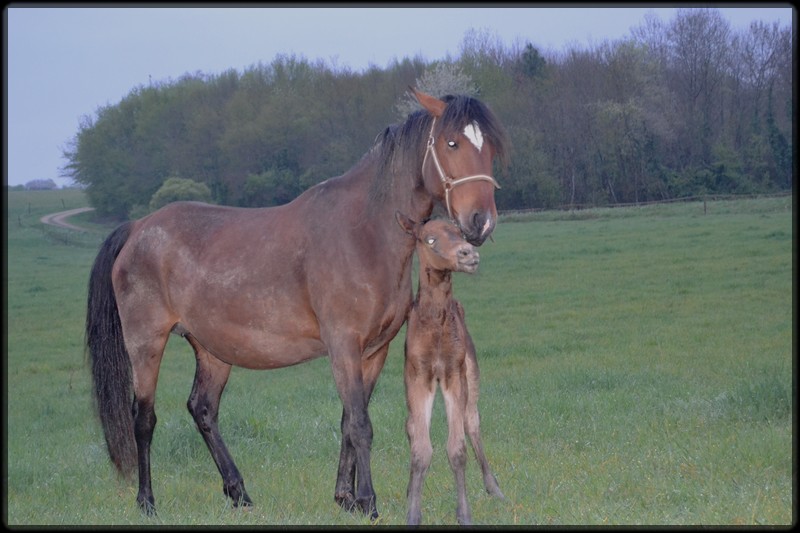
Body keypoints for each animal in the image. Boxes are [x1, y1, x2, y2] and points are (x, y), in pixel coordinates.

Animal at [396, 213, 504, 524]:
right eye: (430, 239)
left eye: (460, 233)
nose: (469, 254)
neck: (436, 322)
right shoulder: (419, 376)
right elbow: (420, 448)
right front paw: (413, 513)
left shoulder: (454, 374)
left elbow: (457, 448)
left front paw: (464, 514)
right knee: (411, 426)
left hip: (472, 372)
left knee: (472, 421)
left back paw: (494, 488)